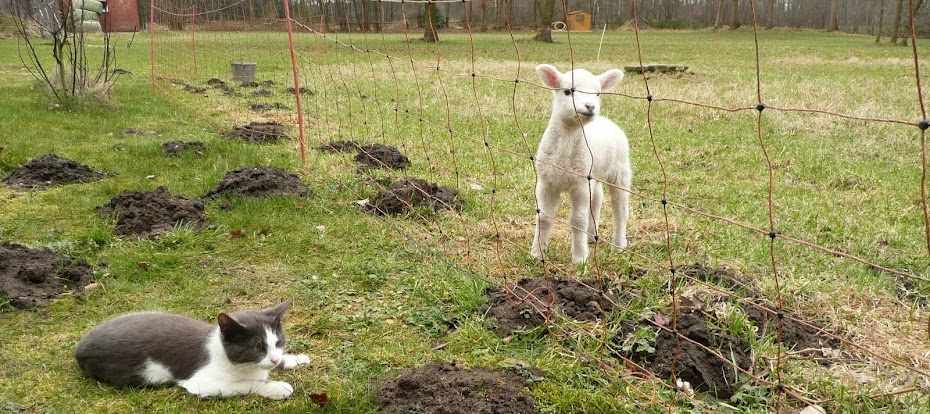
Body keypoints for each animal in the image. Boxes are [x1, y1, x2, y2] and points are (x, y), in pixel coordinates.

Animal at [75, 300, 308, 400]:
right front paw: (276, 387)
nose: (274, 360)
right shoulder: (201, 383)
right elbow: (246, 384)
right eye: (257, 347)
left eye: (278, 342)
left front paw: (295, 359)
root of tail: (80, 347)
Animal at [528, 64, 632, 266]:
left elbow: (578, 220)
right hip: (593, 173)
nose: (590, 107)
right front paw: (537, 253)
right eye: (568, 91)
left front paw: (580, 258)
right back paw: (591, 236)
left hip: (620, 171)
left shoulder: (580, 185)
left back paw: (618, 245)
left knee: (620, 208)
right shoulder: (546, 183)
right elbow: (543, 218)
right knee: (597, 198)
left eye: (597, 93)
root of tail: (606, 120)